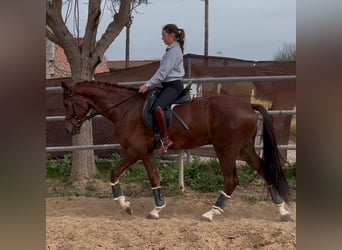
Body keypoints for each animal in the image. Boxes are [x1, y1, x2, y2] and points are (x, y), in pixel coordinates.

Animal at [62, 80, 292, 221]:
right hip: (244, 149)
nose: (69, 128)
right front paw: (157, 209)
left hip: (226, 150)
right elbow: (154, 178)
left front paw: (124, 204)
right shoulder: (146, 153)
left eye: (65, 103)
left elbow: (114, 173)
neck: (125, 109)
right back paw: (282, 210)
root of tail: (248, 105)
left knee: (231, 180)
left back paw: (211, 212)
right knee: (265, 170)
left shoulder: (135, 151)